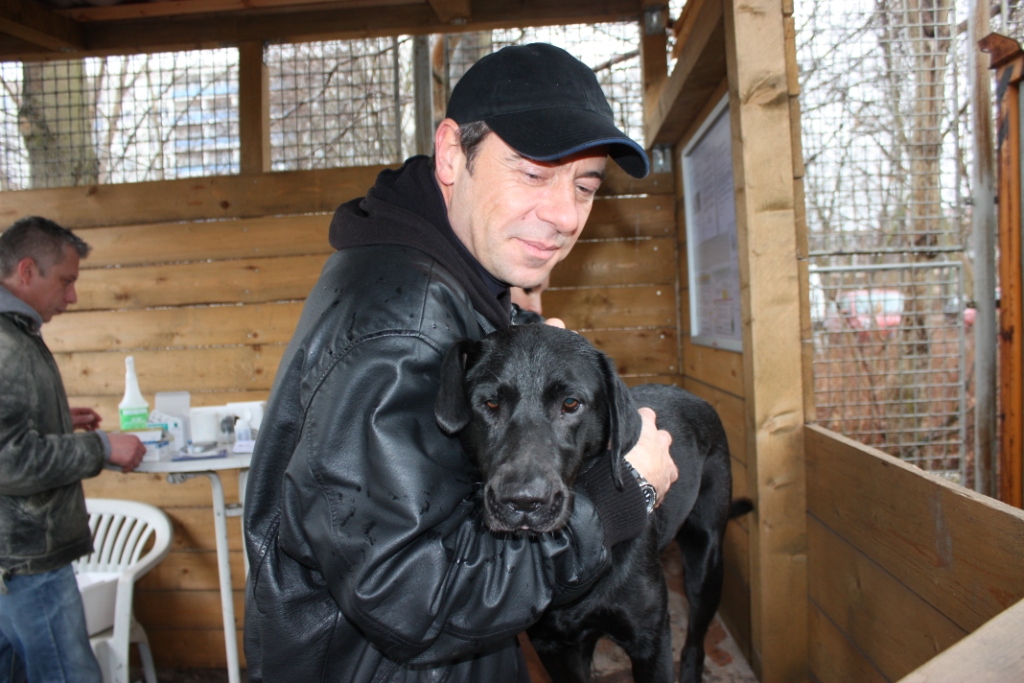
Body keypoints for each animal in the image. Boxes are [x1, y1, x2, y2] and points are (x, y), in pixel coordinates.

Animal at [434, 323, 752, 683]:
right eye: (489, 403)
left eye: (571, 403)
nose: (524, 502)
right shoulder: (554, 646)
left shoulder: (651, 639)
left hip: (706, 556)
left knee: (696, 641)